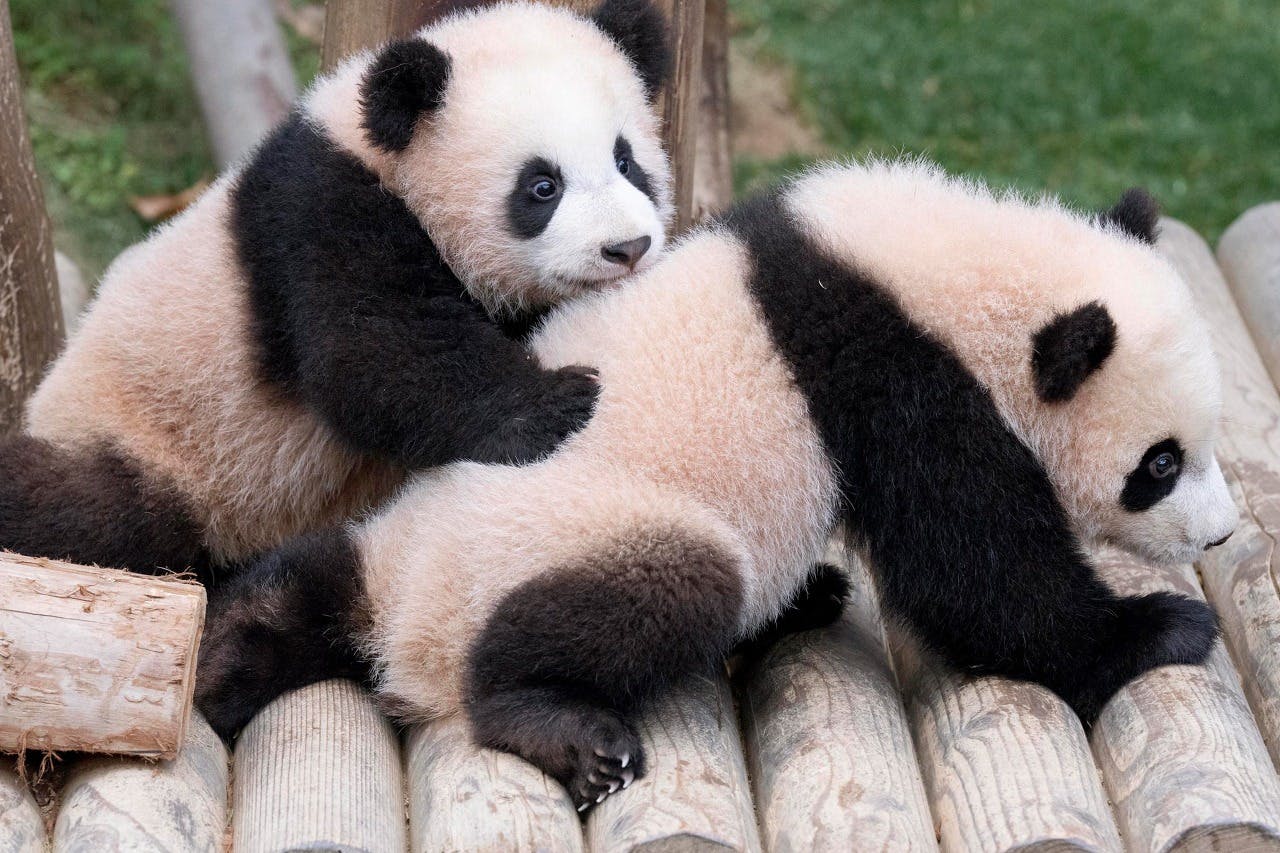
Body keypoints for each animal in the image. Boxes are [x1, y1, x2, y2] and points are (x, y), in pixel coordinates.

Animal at [0, 0, 673, 579]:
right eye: (541, 187)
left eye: (627, 162)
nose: (627, 248)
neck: (376, 153)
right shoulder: (319, 213)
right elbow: (376, 352)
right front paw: (559, 402)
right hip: (150, 439)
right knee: (87, 507)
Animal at [197, 158, 1237, 812]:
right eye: (1159, 463)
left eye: (1212, 439)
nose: (1222, 536)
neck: (954, 267)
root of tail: (400, 622)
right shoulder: (892, 375)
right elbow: (979, 568)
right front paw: (1157, 628)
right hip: (590, 530)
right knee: (668, 589)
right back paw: (560, 723)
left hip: (389, 534)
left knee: (301, 579)